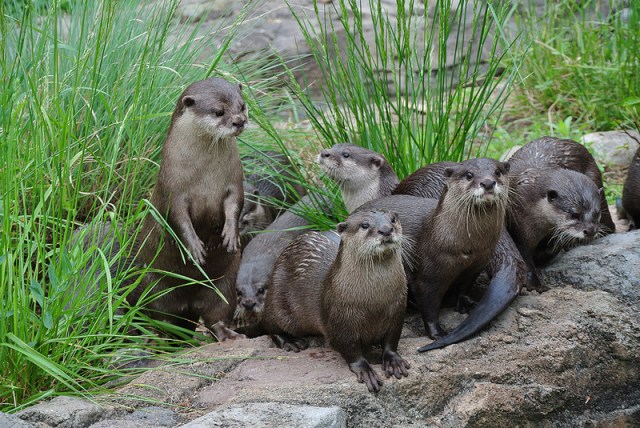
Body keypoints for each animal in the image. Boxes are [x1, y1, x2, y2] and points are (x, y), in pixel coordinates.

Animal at [130, 77, 247, 340]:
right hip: (156, 285)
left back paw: (229, 334)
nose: (239, 121)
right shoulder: (172, 188)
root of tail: (190, 302)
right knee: (163, 316)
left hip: (225, 282)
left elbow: (235, 205)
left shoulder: (234, 181)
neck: (203, 176)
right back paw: (159, 338)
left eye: (242, 106)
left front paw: (230, 235)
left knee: (216, 314)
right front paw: (194, 248)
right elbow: (178, 217)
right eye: (219, 111)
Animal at [262, 210, 410, 393]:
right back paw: (291, 342)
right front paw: (365, 370)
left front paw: (393, 361)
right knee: (270, 325)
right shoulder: (339, 320)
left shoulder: (397, 310)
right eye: (364, 225)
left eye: (393, 220)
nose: (386, 230)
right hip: (277, 298)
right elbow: (349, 348)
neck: (375, 303)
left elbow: (392, 340)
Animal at [357, 158, 511, 346]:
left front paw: (466, 303)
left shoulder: (476, 264)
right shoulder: (429, 275)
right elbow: (429, 304)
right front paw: (437, 333)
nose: (488, 182)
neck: (468, 246)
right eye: (469, 174)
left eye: (498, 172)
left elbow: (464, 287)